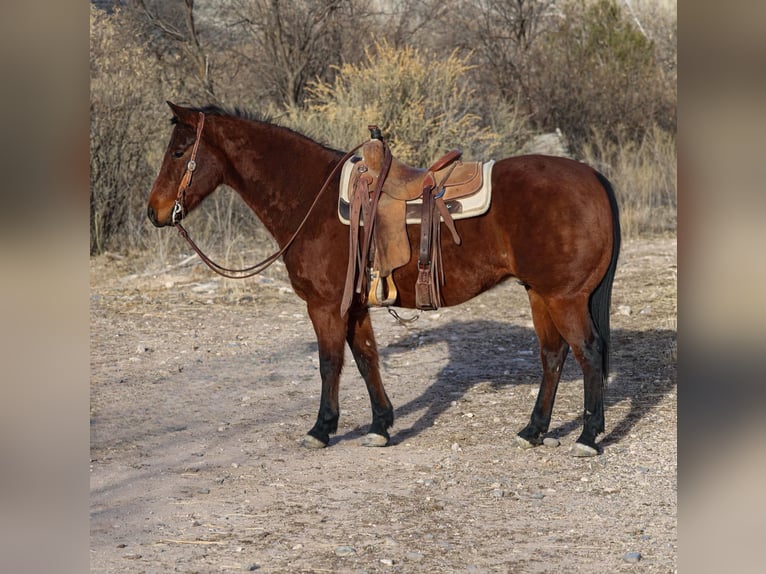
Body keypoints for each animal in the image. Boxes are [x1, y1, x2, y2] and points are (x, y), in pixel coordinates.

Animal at [147, 102, 620, 457]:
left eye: (178, 152)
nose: (153, 212)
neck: (312, 198)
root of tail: (592, 176)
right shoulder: (354, 306)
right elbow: (366, 359)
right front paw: (380, 425)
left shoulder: (324, 305)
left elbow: (330, 362)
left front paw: (322, 429)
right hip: (540, 294)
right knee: (553, 356)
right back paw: (534, 430)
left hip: (564, 298)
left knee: (588, 352)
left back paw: (587, 437)